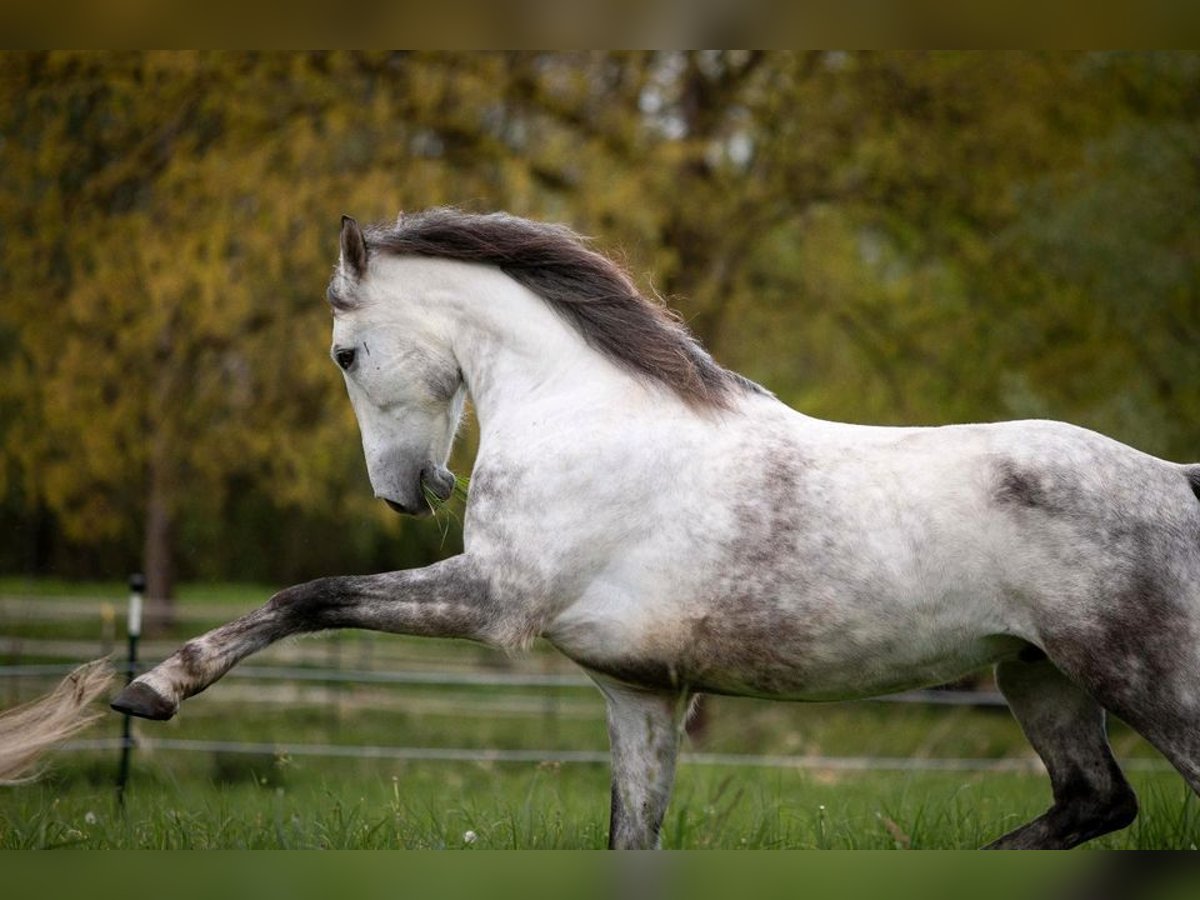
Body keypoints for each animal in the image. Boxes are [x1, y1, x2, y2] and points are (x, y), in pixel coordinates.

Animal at [112, 210, 1200, 854]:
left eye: (344, 354)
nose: (405, 494)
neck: (583, 410)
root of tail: (1180, 482)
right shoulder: (637, 694)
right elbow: (632, 839)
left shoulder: (492, 599)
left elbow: (312, 596)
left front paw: (151, 689)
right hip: (1038, 674)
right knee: (1094, 800)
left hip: (1148, 681)